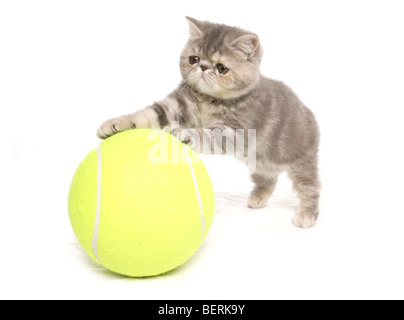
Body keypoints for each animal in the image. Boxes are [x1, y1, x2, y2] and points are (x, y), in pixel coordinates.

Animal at [96, 16, 320, 228]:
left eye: (222, 68)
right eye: (194, 59)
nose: (203, 67)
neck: (209, 100)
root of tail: (309, 114)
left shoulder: (237, 131)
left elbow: (207, 134)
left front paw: (184, 133)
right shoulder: (177, 105)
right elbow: (149, 114)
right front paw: (116, 123)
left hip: (302, 163)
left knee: (311, 187)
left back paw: (307, 215)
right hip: (259, 163)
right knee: (268, 179)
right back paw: (258, 197)